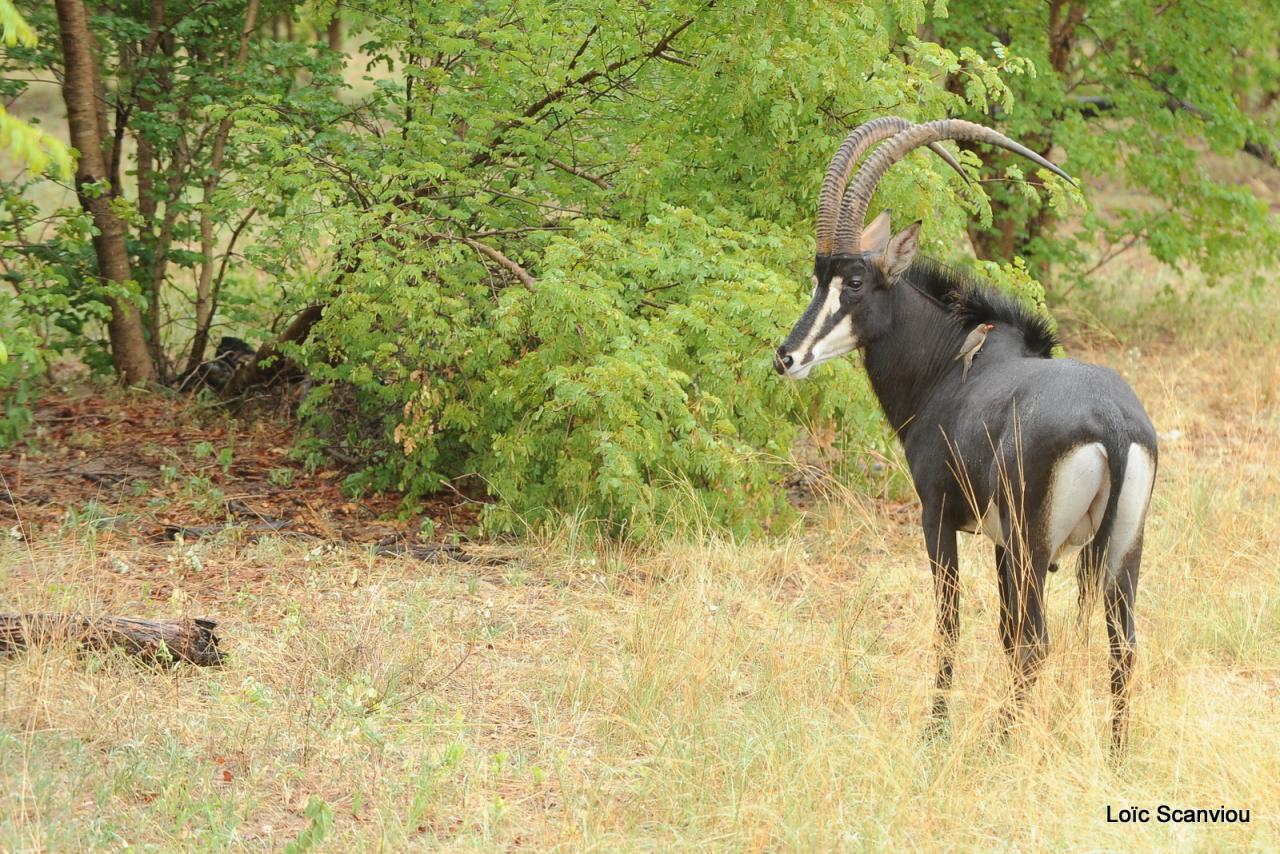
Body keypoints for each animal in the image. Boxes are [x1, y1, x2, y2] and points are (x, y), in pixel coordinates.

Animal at [778, 115, 1162, 747]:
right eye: (819, 276)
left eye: (854, 281)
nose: (786, 358)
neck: (955, 362)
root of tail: (1110, 421)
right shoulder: (1001, 543)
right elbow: (1000, 631)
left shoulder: (938, 517)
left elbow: (950, 625)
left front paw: (935, 731)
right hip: (1121, 550)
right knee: (1119, 645)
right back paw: (1115, 755)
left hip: (1036, 547)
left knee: (1036, 641)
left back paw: (999, 744)